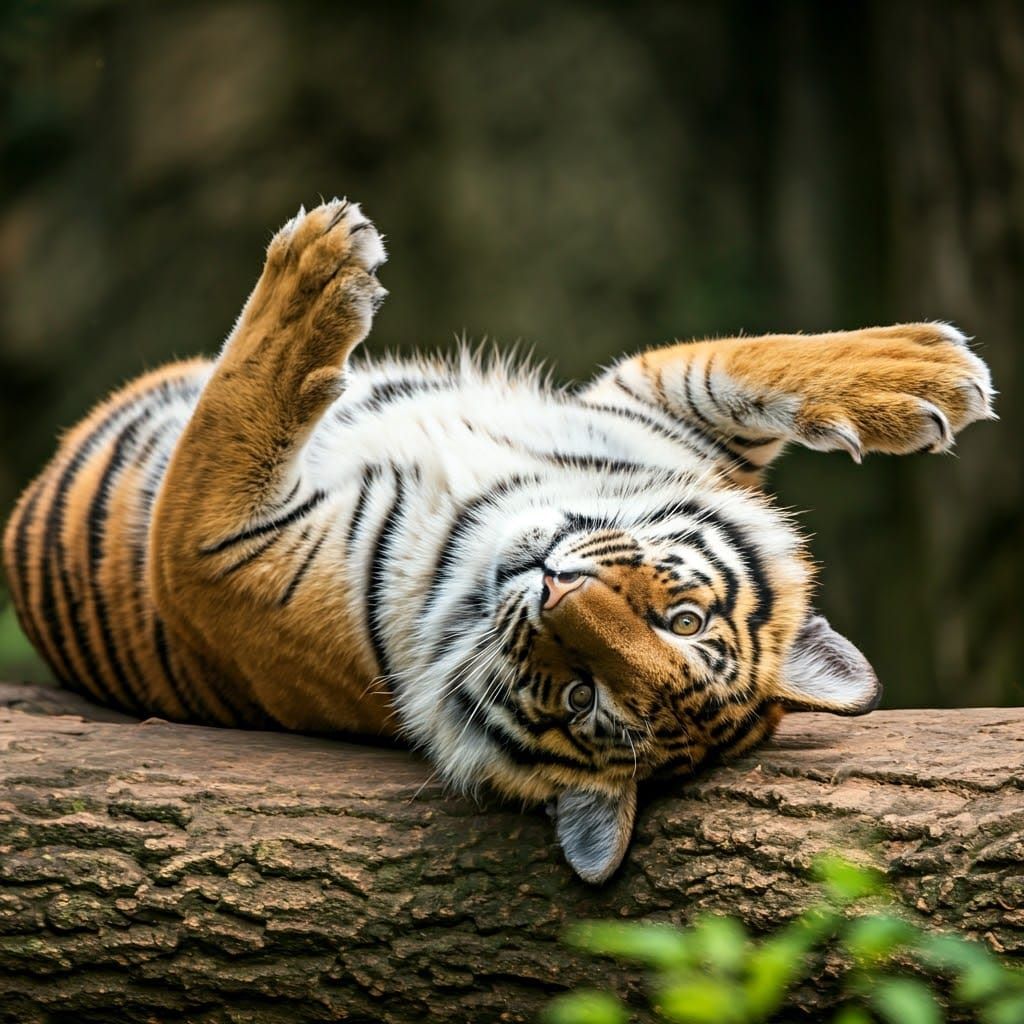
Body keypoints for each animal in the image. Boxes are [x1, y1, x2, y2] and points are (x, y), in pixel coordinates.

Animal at [2, 198, 995, 883]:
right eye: (683, 621)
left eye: (584, 699)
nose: (555, 589)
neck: (490, 511)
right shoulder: (651, 403)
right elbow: (746, 362)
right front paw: (929, 369)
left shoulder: (205, 558)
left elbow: (233, 415)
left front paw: (319, 268)